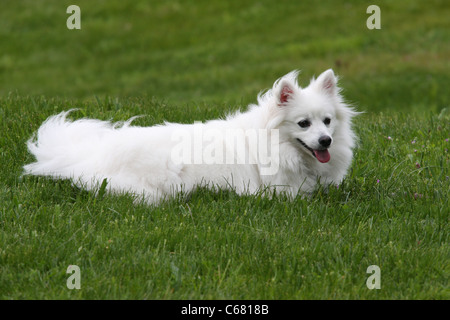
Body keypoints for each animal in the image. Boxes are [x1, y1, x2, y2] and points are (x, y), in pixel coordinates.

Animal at [23, 70, 358, 205]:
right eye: (303, 124)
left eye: (327, 122)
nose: (325, 140)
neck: (274, 144)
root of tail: (91, 155)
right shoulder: (279, 191)